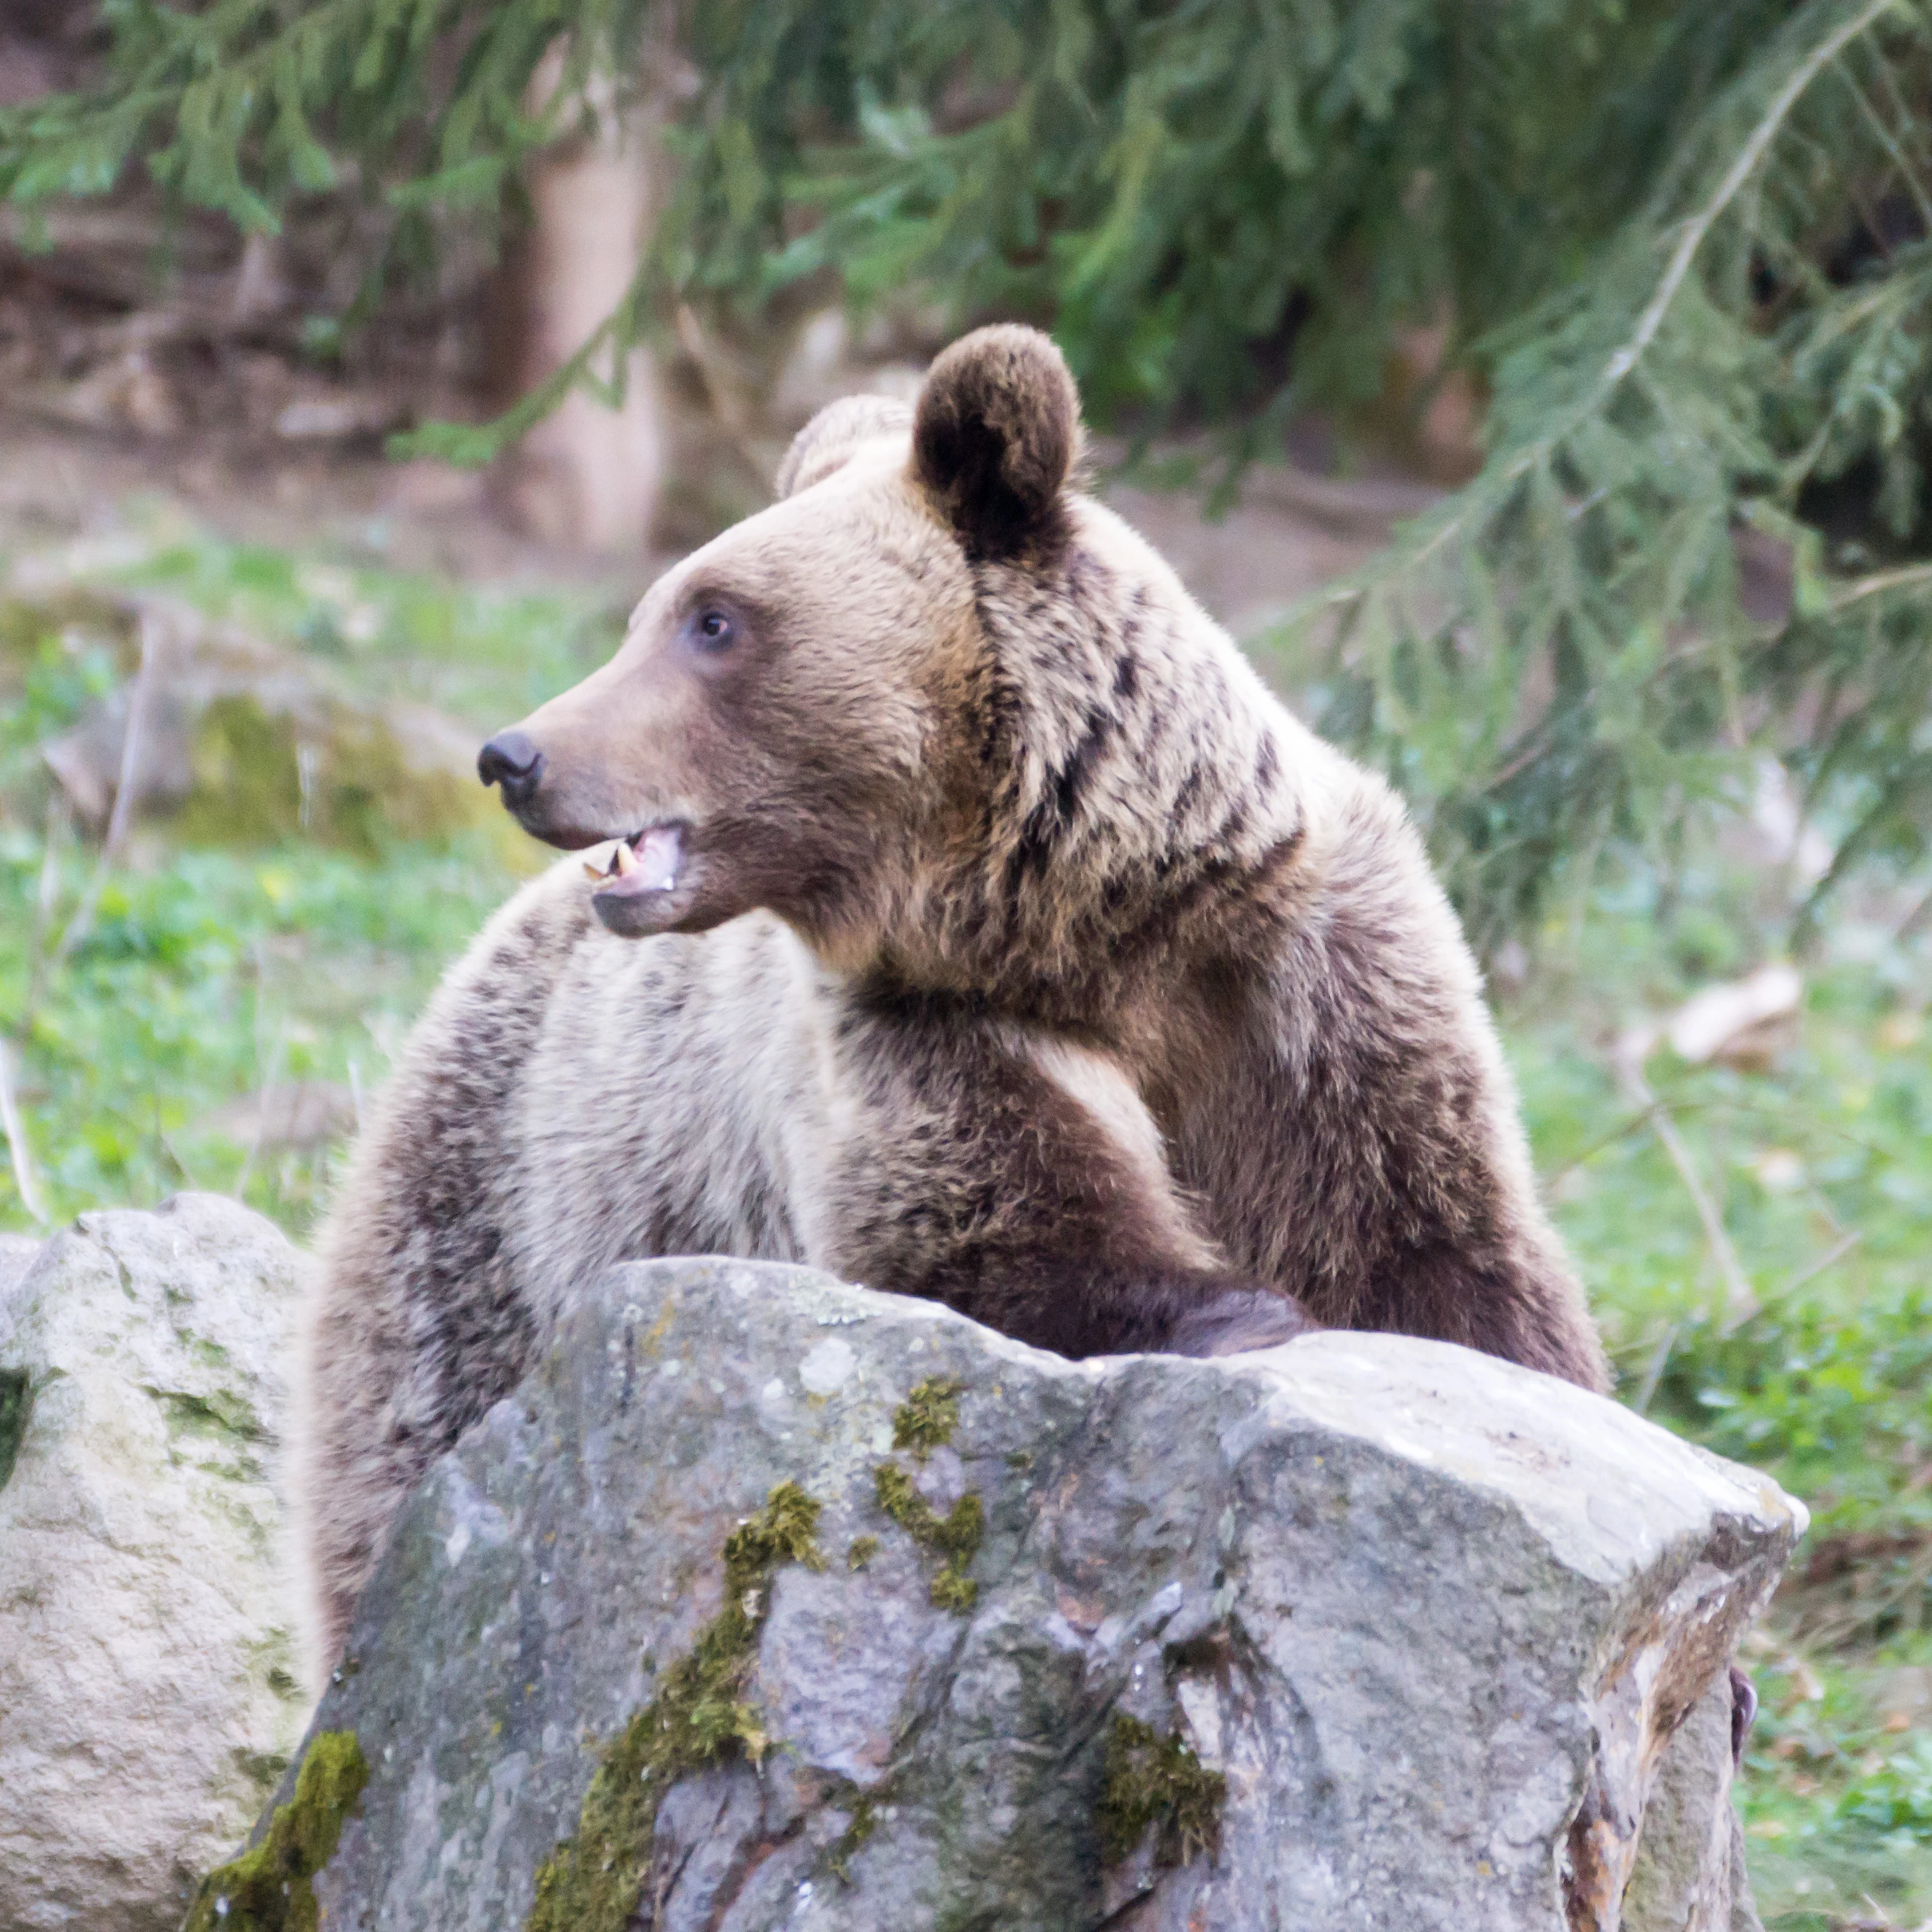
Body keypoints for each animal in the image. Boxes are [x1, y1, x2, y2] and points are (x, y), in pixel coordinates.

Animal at [297, 324, 1607, 1670]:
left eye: (712, 619)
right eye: (656, 611)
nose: (516, 755)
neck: (1085, 919)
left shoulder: (1313, 990)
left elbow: (1447, 1253)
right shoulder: (927, 1023)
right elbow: (987, 1224)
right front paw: (1232, 1307)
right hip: (497, 1232)